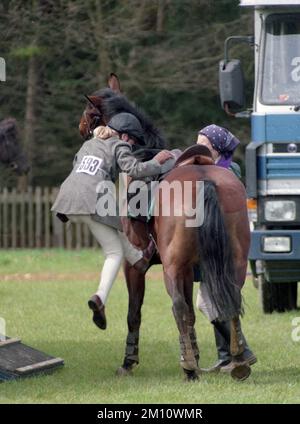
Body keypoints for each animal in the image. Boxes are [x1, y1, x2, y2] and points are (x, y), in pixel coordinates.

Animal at [78, 73, 250, 380]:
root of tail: (204, 176)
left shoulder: (135, 266)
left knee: (178, 307)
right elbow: (192, 315)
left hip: (172, 266)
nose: (80, 128)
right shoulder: (188, 269)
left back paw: (190, 369)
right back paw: (238, 361)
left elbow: (135, 314)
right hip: (233, 262)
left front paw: (129, 361)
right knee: (231, 300)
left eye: (89, 112)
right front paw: (194, 352)